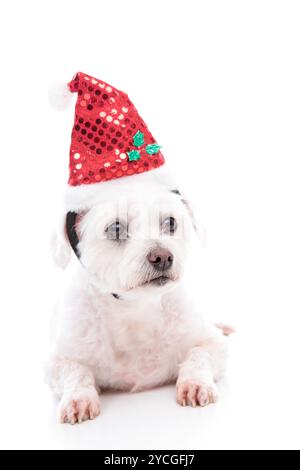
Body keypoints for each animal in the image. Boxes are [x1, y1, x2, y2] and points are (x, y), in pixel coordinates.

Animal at [45, 167, 232, 424]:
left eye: (171, 222)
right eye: (116, 228)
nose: (162, 257)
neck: (135, 307)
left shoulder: (212, 342)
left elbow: (198, 354)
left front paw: (195, 382)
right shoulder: (58, 360)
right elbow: (76, 371)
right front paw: (78, 398)